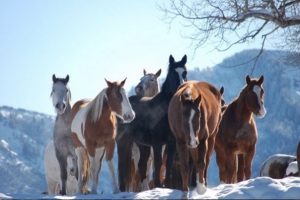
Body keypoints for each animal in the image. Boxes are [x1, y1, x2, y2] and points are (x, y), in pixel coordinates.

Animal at [117, 54, 188, 191]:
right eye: (173, 73)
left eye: (185, 73)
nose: (182, 90)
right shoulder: (157, 143)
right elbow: (158, 164)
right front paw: (159, 187)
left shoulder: (171, 143)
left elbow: (168, 165)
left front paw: (167, 187)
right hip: (125, 142)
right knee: (123, 166)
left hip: (142, 145)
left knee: (141, 165)